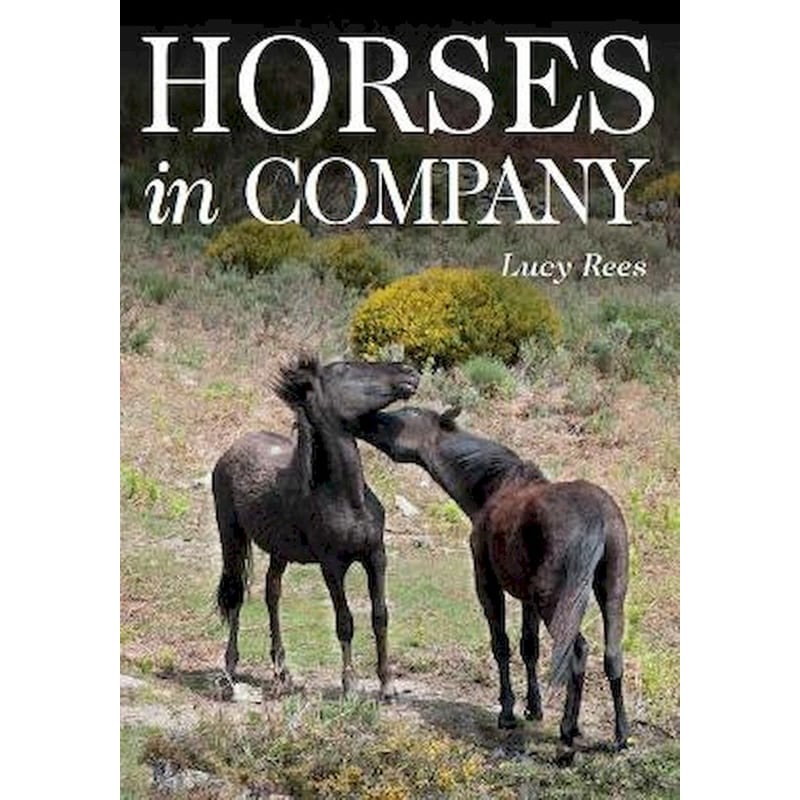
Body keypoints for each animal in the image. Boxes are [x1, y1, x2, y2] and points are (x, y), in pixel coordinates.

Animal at [213, 355, 419, 701]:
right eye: (346, 368)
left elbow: (380, 616)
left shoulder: (376, 556)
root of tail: (232, 449)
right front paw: (350, 685)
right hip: (232, 537)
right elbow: (345, 621)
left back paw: (282, 672)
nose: (409, 372)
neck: (348, 499)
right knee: (236, 595)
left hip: (279, 551)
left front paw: (387, 685)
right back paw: (230, 670)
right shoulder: (331, 565)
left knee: (272, 593)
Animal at [352, 405, 629, 752]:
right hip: (611, 593)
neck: (491, 489)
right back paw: (620, 735)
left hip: (555, 600)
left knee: (577, 650)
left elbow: (501, 645)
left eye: (403, 415)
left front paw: (508, 712)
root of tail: (598, 518)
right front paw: (534, 708)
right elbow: (529, 647)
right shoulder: (527, 598)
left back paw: (568, 728)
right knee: (612, 655)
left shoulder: (487, 582)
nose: (364, 419)